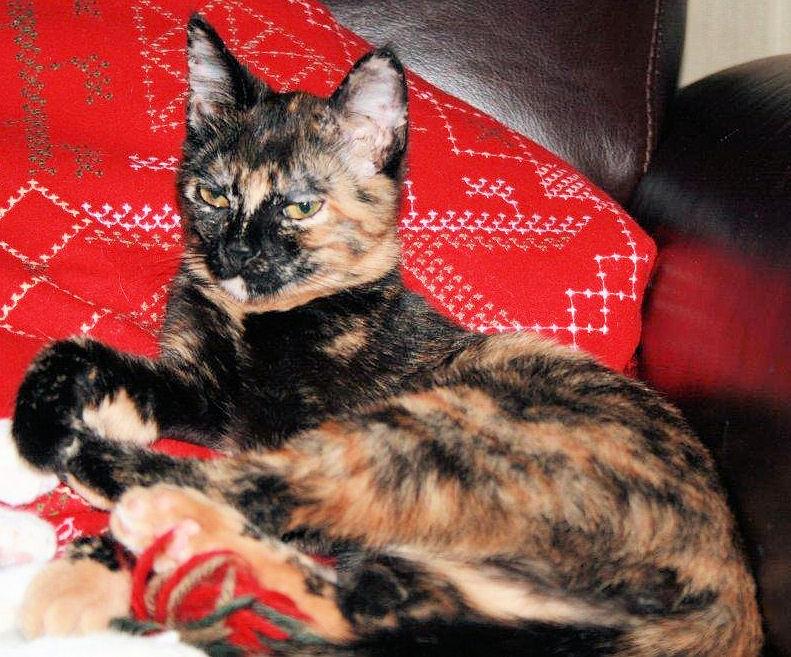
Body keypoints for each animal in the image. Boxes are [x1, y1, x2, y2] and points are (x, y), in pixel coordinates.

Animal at [13, 14, 762, 657]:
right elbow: (75, 354)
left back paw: (122, 509)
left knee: (256, 494)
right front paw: (44, 423)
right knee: (344, 604)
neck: (258, 320)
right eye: (215, 195)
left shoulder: (274, 422)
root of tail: (727, 607)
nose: (235, 254)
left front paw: (62, 457)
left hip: (438, 431)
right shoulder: (199, 387)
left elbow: (238, 476)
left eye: (300, 206)